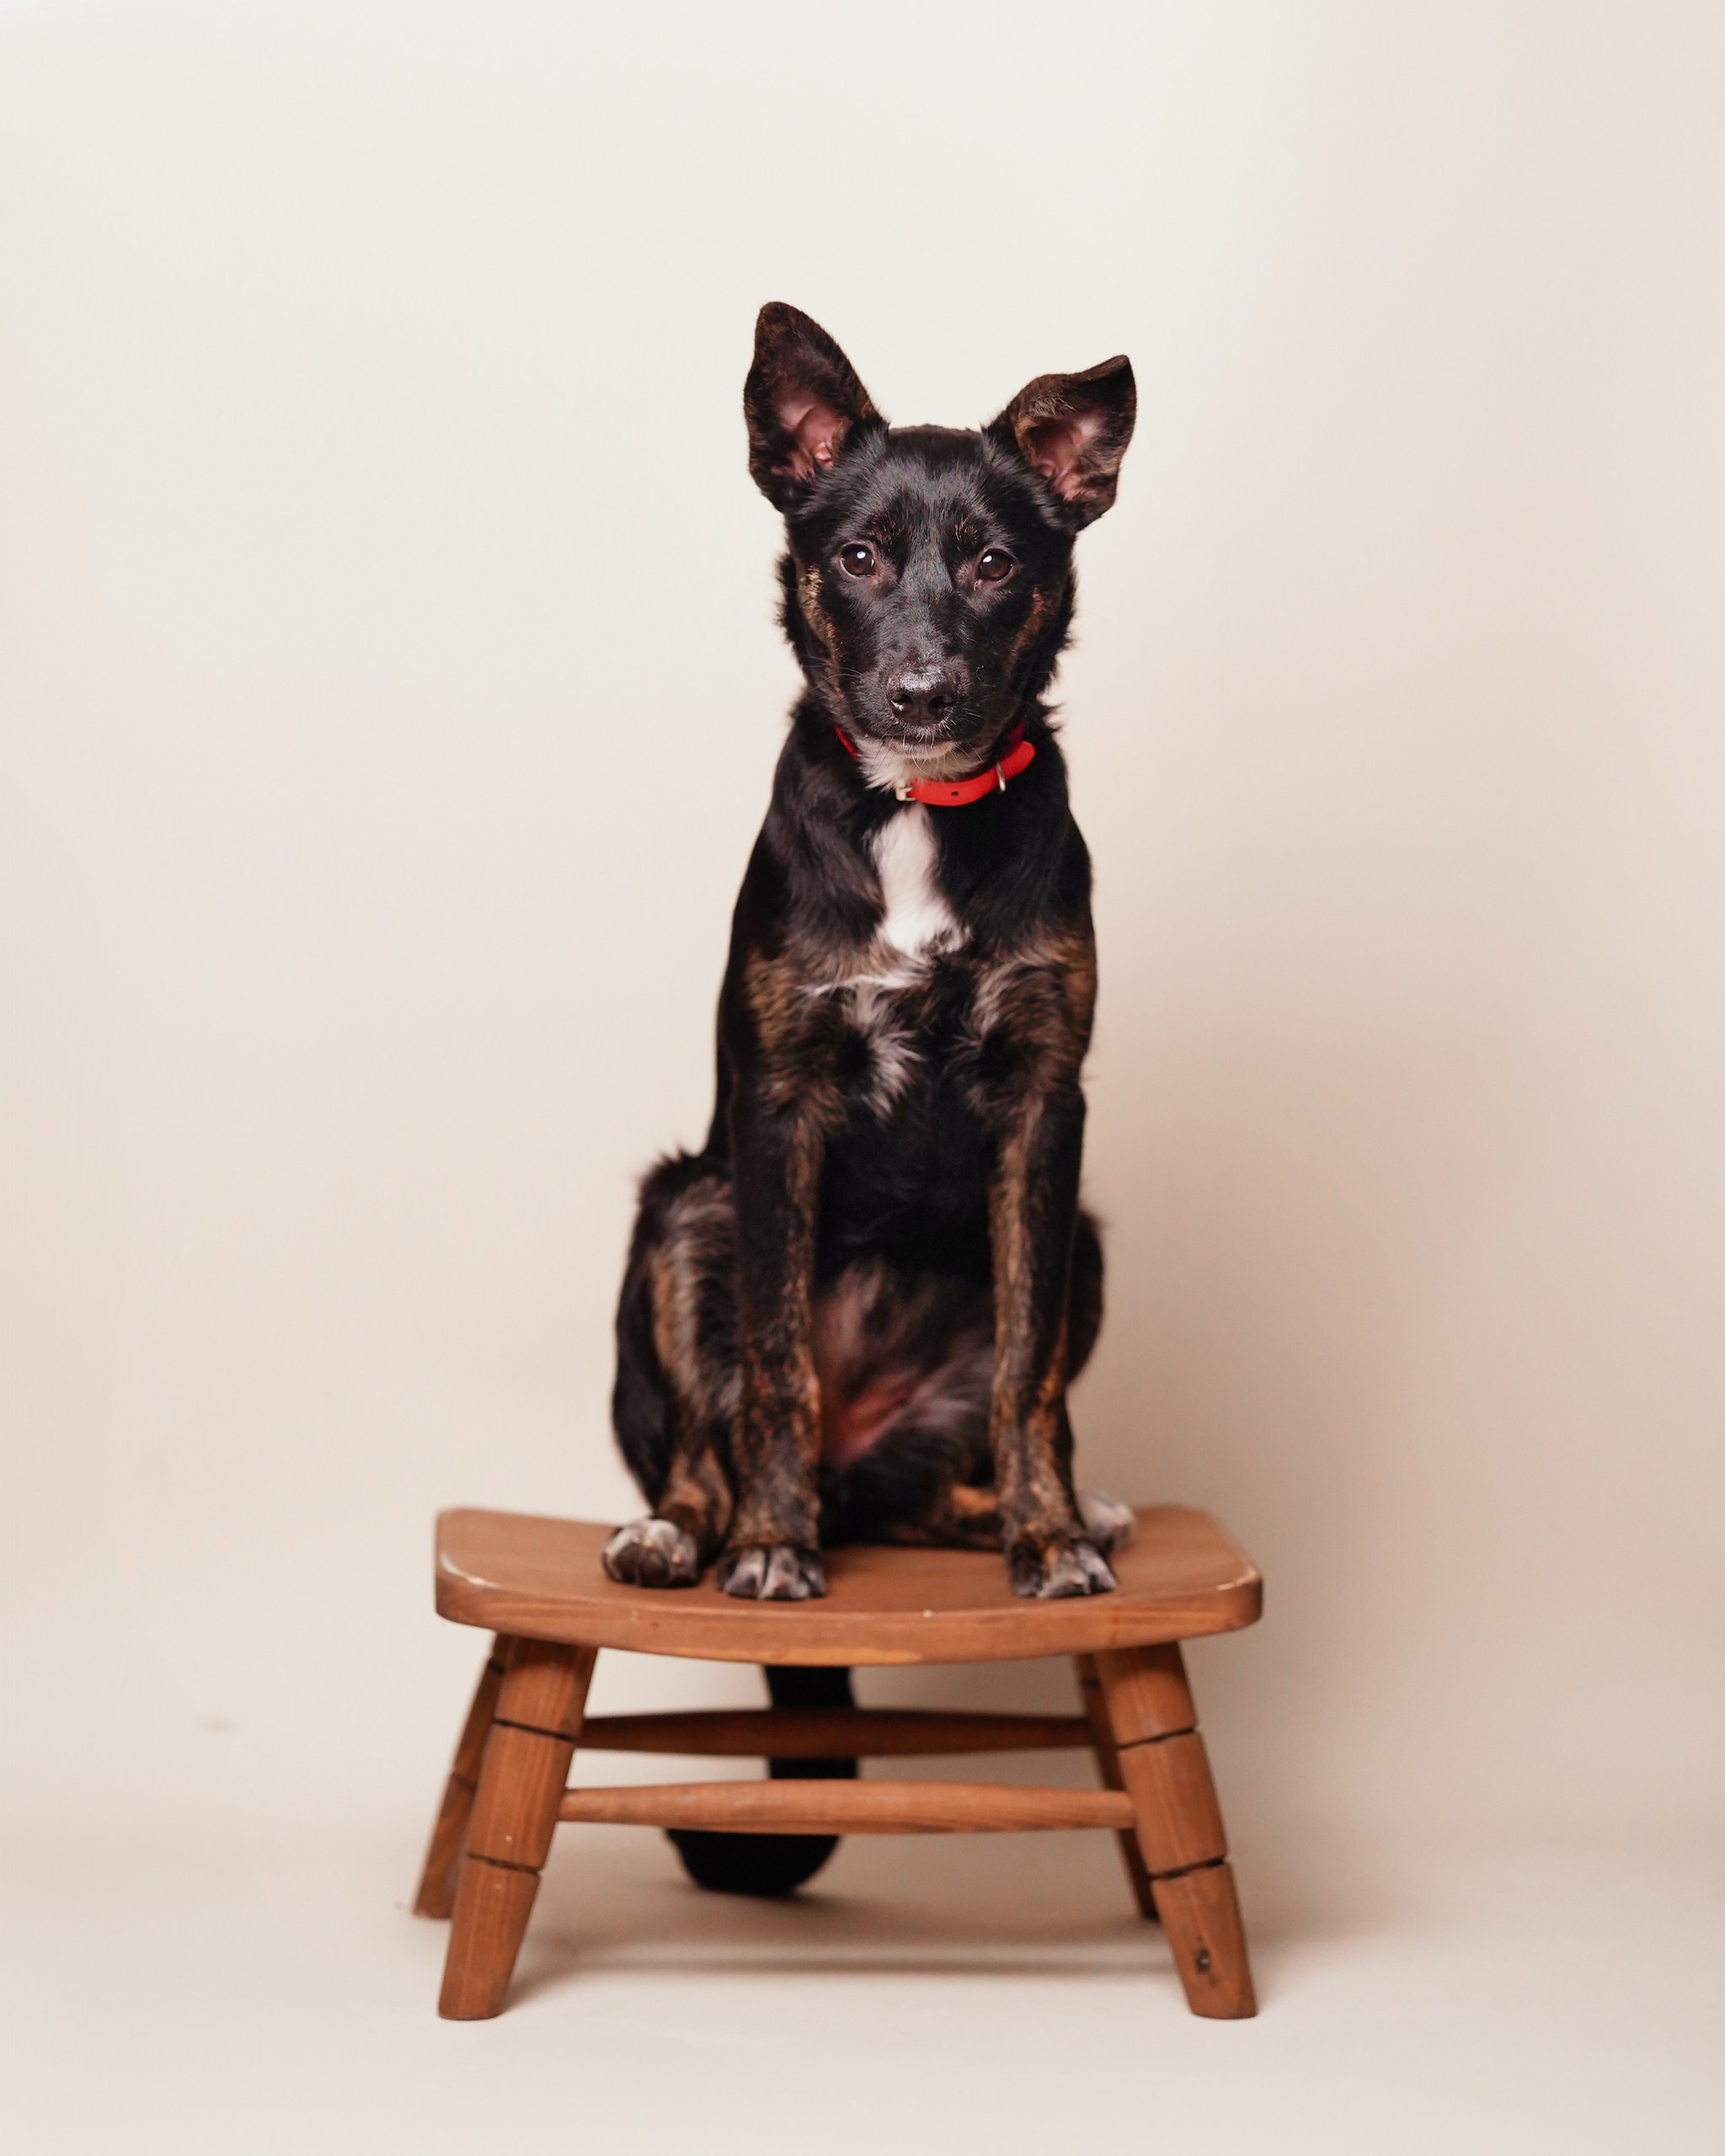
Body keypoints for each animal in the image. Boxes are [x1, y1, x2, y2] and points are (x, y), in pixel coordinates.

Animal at [604, 304, 1136, 1617]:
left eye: (995, 564)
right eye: (857, 557)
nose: (920, 692)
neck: (914, 803)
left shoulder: (1045, 1102)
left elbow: (1029, 1373)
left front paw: (1050, 1537)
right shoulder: (778, 1100)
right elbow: (776, 1360)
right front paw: (770, 1543)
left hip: (1083, 1242)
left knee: (939, 1478)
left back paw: (1040, 1510)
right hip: (683, 1210)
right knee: (704, 1450)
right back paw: (684, 1532)